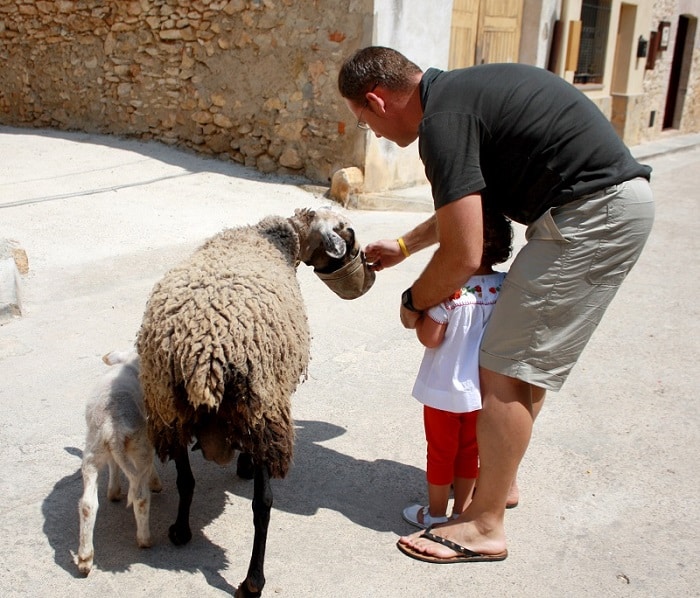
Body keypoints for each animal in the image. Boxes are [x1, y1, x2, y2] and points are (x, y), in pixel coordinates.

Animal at [77, 352, 162, 576]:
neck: (129, 364)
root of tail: (112, 426)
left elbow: (114, 465)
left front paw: (114, 491)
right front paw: (155, 482)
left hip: (94, 449)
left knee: (88, 504)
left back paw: (85, 557)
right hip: (140, 443)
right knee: (140, 496)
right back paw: (145, 539)